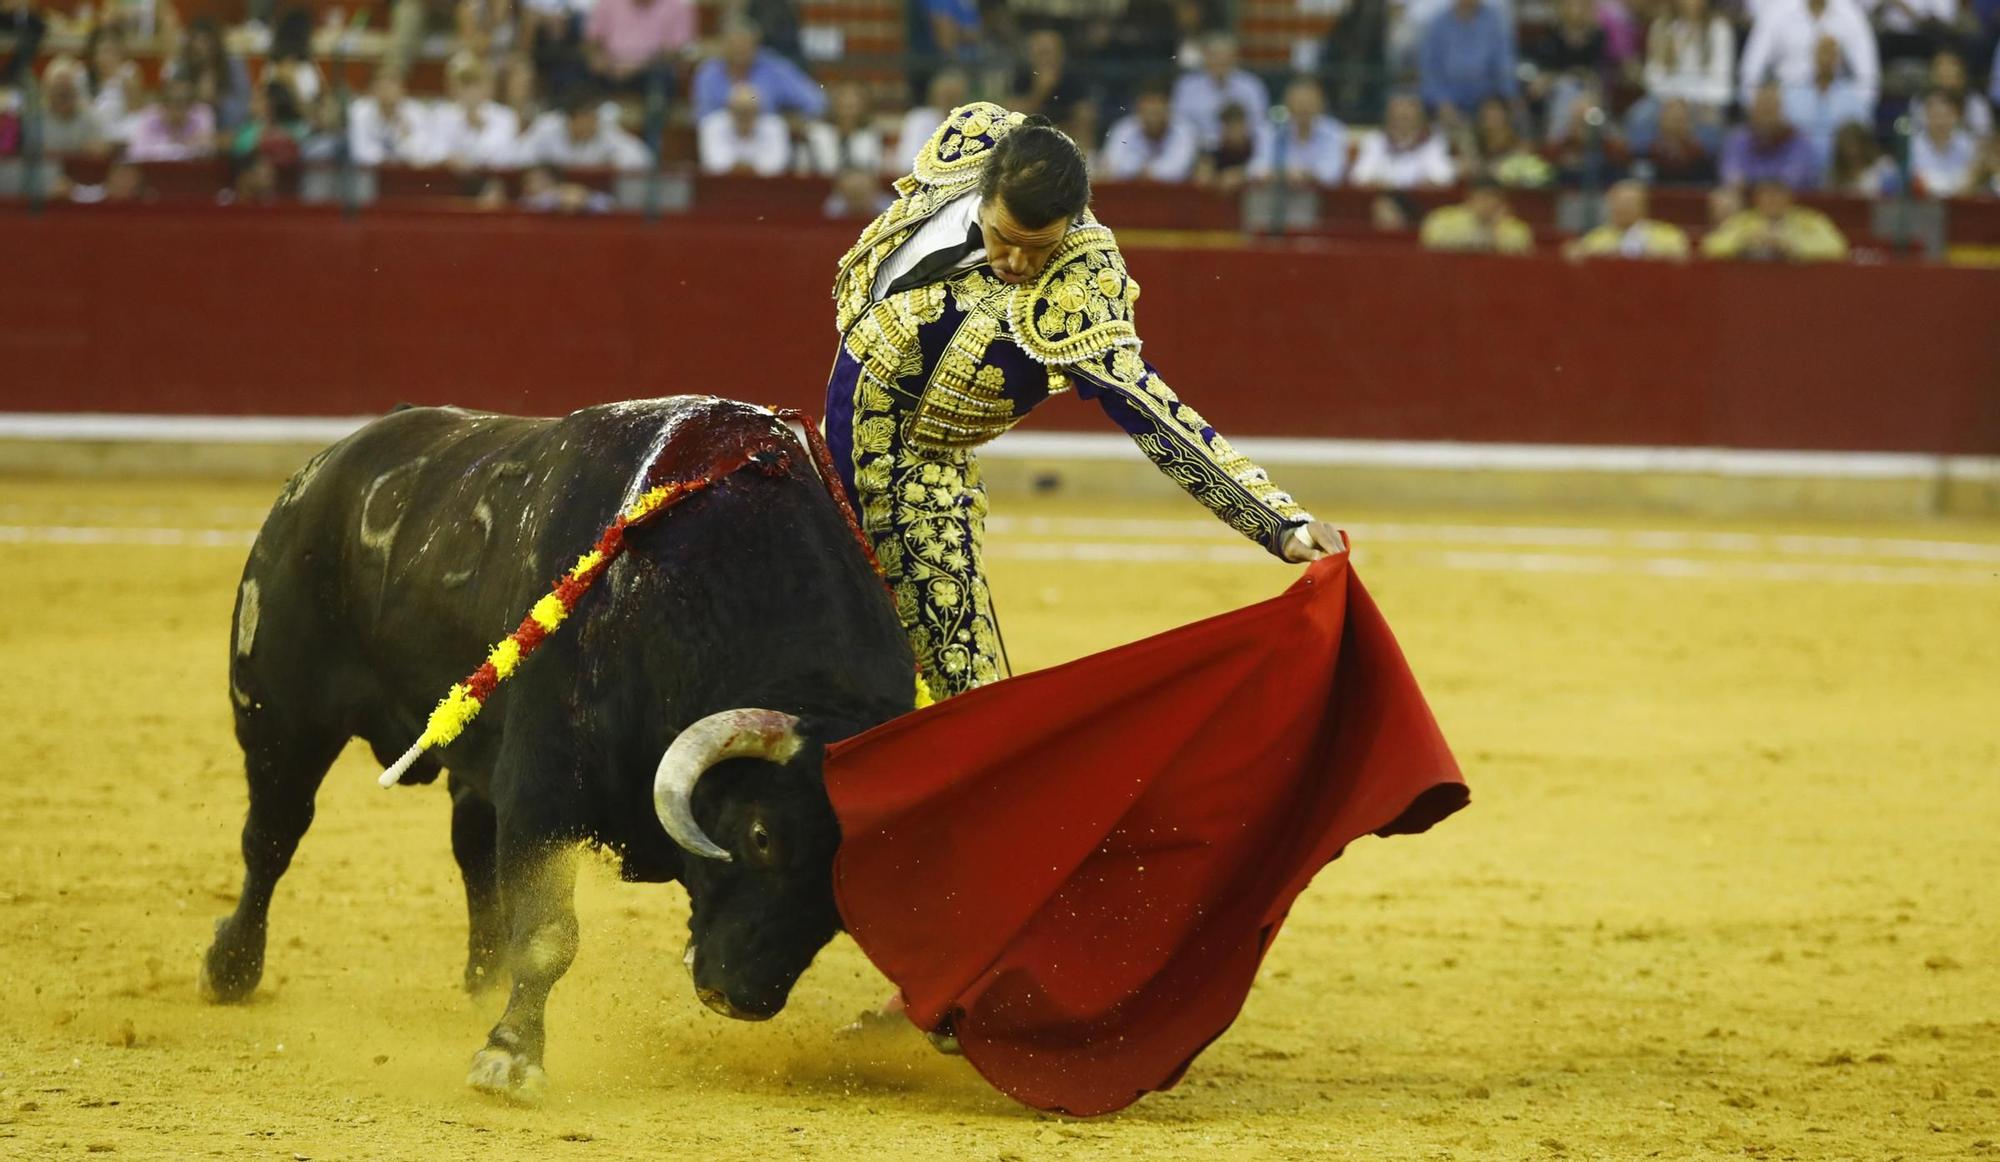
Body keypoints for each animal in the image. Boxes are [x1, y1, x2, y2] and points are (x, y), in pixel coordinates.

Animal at [199, 398, 916, 1096]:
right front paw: (509, 1057)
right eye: (763, 836)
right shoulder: (542, 793)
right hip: (279, 716)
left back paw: (482, 979)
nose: (741, 997)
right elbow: (548, 934)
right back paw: (229, 968)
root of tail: (323, 468)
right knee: (272, 837)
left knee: (469, 849)